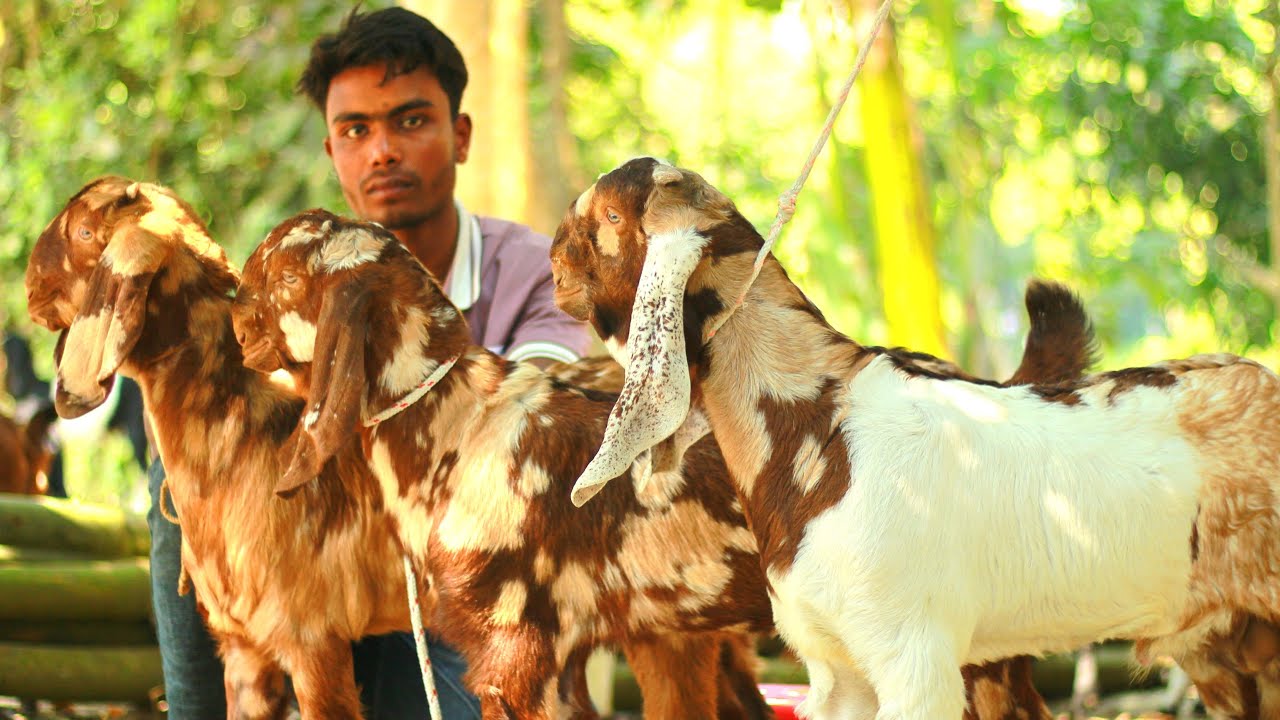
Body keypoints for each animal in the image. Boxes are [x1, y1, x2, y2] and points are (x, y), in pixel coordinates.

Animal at [549, 157, 1280, 720]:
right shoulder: (835, 670)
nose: (553, 257)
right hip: (1226, 648)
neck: (819, 430)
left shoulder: (914, 660)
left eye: (610, 216)